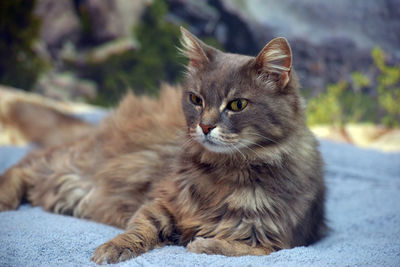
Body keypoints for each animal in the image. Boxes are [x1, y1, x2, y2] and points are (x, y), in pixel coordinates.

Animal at [0, 26, 324, 264]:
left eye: (238, 104)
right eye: (196, 99)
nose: (205, 126)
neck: (226, 172)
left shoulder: (279, 240)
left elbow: (235, 247)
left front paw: (201, 244)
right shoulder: (161, 201)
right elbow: (139, 228)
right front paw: (112, 248)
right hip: (76, 169)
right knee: (28, 162)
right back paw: (5, 199)